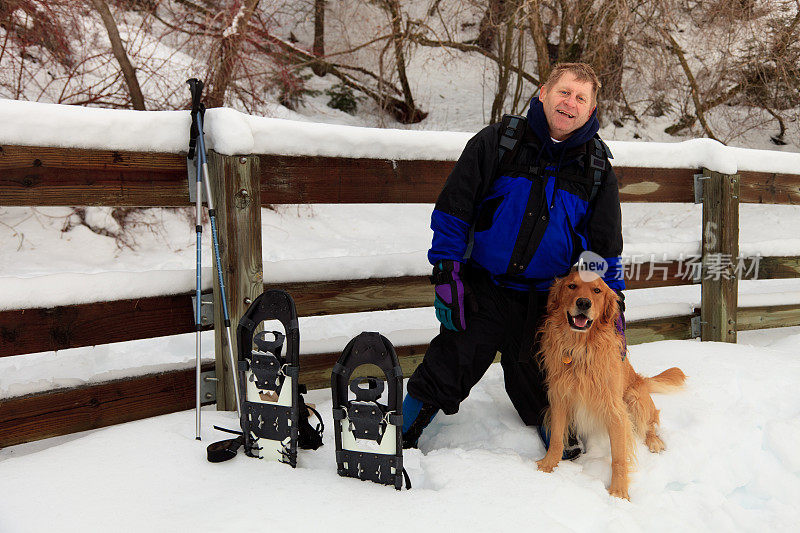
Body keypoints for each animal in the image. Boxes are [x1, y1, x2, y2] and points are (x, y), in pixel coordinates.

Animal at [536, 270, 684, 498]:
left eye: (597, 290)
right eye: (571, 286)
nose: (584, 302)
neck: (580, 349)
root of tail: (641, 379)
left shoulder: (616, 410)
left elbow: (619, 458)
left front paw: (619, 492)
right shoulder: (560, 398)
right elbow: (556, 439)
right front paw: (547, 467)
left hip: (634, 398)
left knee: (650, 423)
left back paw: (654, 441)